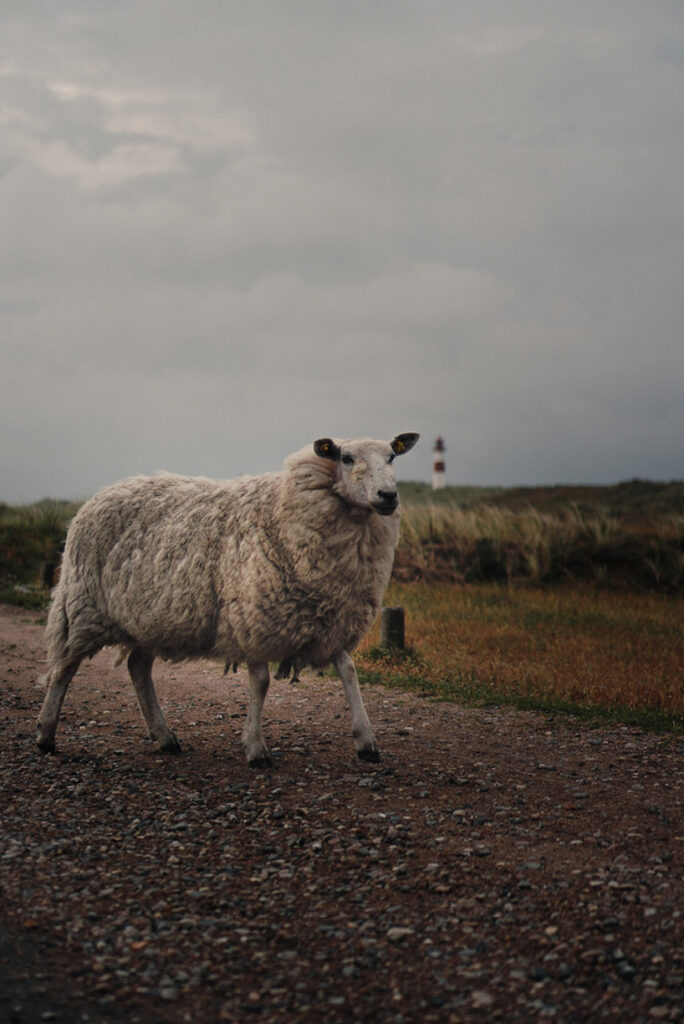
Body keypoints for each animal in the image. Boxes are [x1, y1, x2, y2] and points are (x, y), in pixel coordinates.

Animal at [38, 430, 421, 761]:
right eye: (346, 457)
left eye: (391, 457)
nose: (388, 496)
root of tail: (101, 494)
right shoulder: (254, 618)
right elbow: (261, 682)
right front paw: (256, 748)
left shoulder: (329, 618)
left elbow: (349, 672)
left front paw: (367, 741)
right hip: (84, 606)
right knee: (64, 669)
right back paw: (46, 734)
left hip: (150, 618)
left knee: (138, 667)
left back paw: (164, 737)